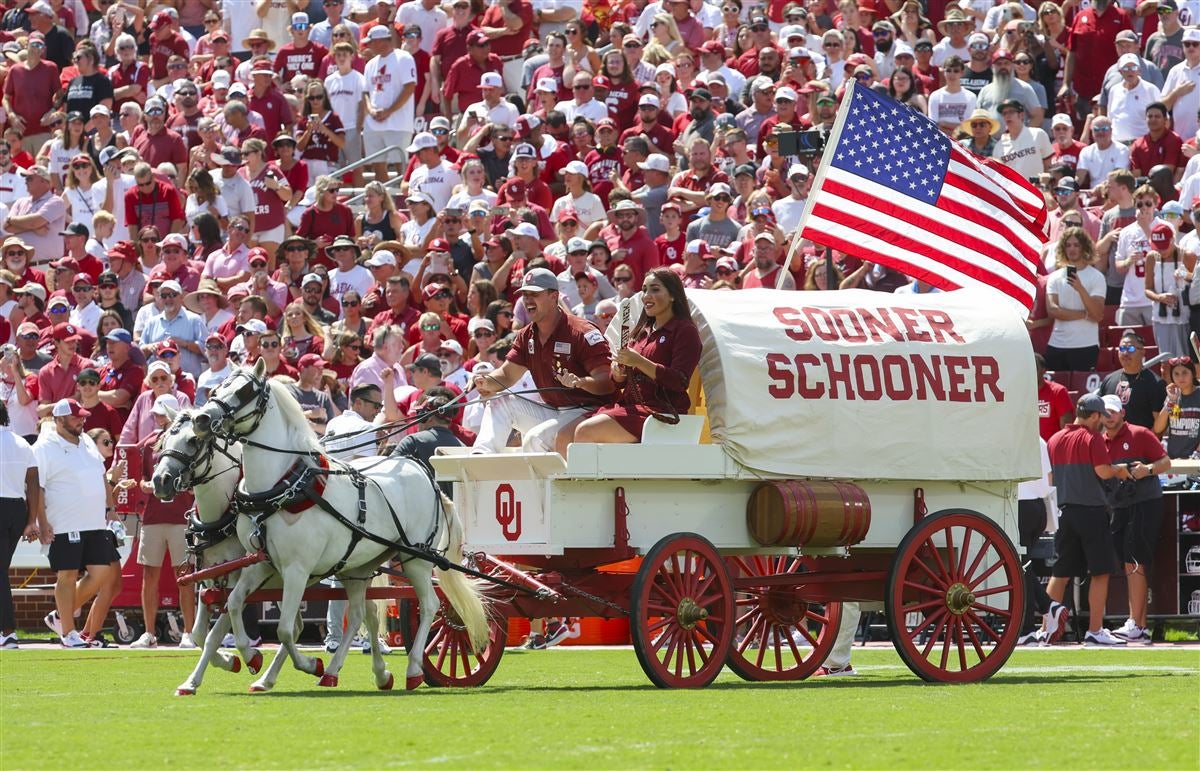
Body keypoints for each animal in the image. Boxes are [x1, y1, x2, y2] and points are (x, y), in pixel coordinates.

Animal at [184, 360, 484, 691]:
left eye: (245, 389)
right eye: (217, 387)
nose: (201, 419)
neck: (284, 486)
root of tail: (424, 473)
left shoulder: (297, 569)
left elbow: (285, 629)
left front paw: (308, 663)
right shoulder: (260, 564)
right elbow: (235, 604)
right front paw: (251, 658)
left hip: (415, 557)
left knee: (430, 604)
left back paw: (414, 668)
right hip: (358, 566)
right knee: (360, 613)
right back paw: (345, 671)